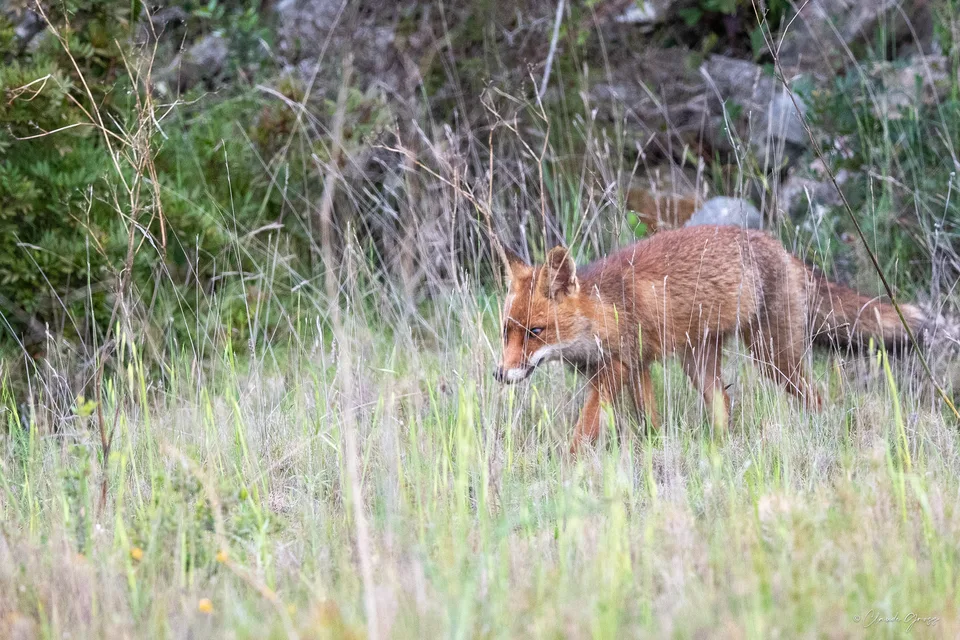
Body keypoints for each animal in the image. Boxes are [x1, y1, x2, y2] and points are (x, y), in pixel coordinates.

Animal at [494, 225, 927, 453]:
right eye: (506, 331)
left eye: (536, 332)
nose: (500, 374)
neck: (601, 314)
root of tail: (776, 245)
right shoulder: (637, 368)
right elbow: (649, 421)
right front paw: (654, 449)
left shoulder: (618, 366)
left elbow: (585, 430)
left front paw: (569, 467)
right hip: (699, 363)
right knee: (724, 402)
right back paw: (720, 448)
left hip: (774, 360)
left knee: (817, 398)